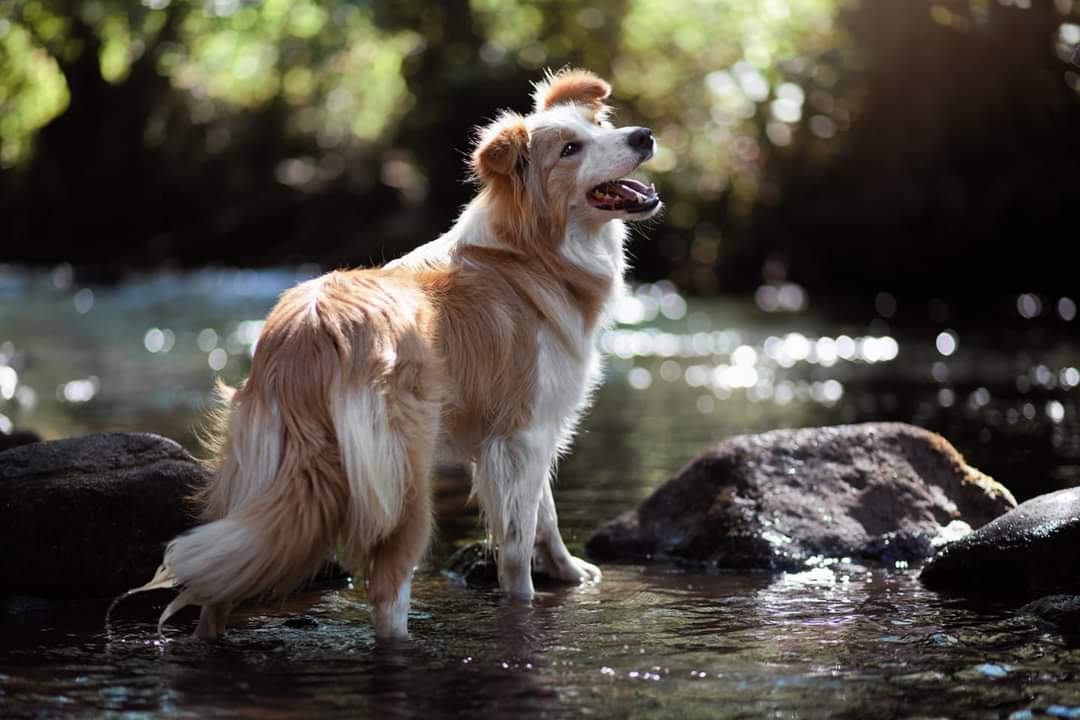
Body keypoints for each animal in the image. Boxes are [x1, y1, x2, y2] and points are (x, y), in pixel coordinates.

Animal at [147, 70, 660, 639]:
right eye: (571, 149)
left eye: (599, 125)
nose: (644, 136)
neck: (531, 253)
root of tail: (312, 330)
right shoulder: (523, 433)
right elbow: (518, 542)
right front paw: (529, 600)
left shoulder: (517, 437)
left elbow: (544, 514)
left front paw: (568, 573)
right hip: (405, 483)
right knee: (387, 592)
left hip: (260, 472)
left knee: (216, 589)